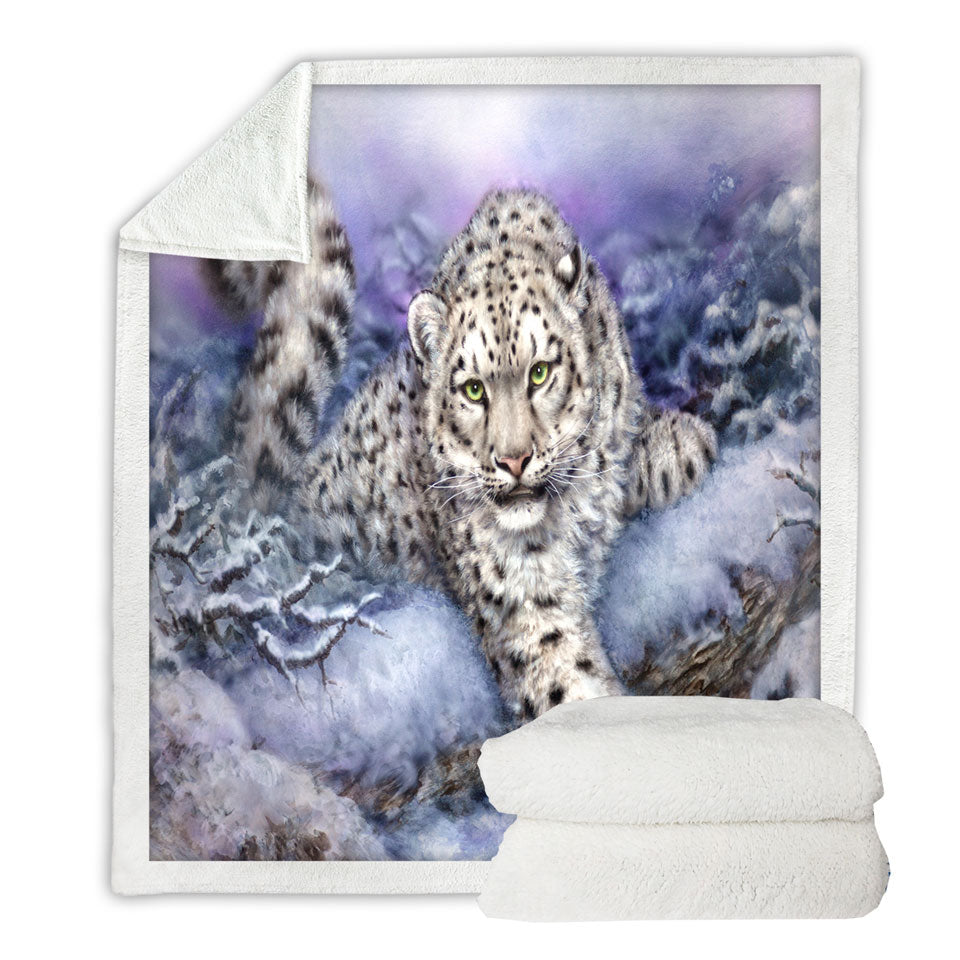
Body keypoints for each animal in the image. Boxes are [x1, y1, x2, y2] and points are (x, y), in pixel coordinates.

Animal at [210, 180, 717, 720]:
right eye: (473, 390)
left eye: (540, 372)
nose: (513, 460)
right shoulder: (519, 595)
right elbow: (563, 680)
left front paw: (677, 443)